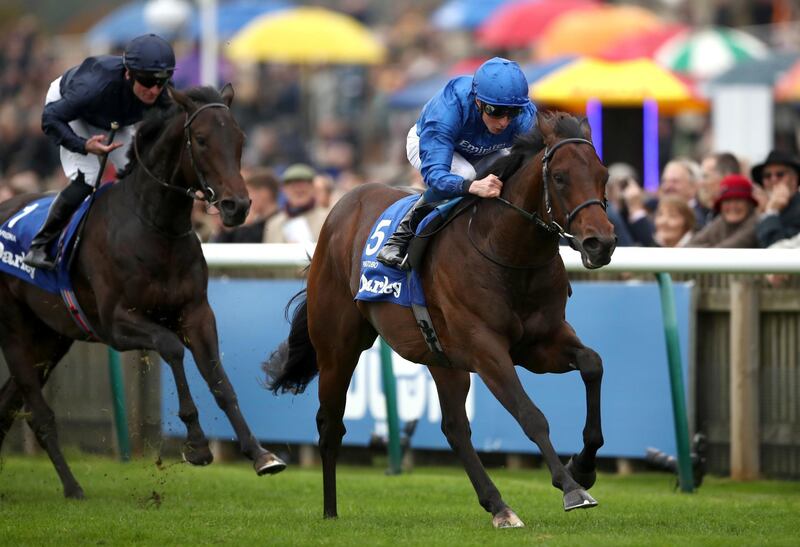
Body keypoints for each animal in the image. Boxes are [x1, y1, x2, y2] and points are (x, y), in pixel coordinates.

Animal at [0, 83, 286, 498]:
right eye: (201, 140)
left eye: (240, 139)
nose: (238, 206)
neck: (155, 227)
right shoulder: (117, 324)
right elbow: (172, 348)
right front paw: (196, 444)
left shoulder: (197, 312)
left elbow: (218, 379)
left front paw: (261, 454)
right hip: (16, 332)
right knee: (39, 415)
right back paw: (72, 487)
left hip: (50, 338)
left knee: (8, 403)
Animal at [266, 111, 616, 528]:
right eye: (560, 177)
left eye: (603, 174)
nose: (601, 243)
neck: (507, 251)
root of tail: (342, 205)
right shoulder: (486, 349)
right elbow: (531, 415)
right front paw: (572, 488)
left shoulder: (540, 343)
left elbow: (592, 364)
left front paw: (584, 467)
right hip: (338, 347)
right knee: (330, 424)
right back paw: (330, 510)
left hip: (442, 359)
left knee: (454, 428)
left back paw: (499, 506)